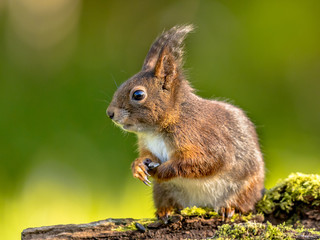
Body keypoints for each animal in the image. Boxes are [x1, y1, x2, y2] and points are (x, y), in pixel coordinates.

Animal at [106, 24, 264, 221]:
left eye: (138, 94)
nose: (110, 113)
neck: (156, 130)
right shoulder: (148, 145)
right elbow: (147, 156)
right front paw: (138, 166)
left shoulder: (207, 142)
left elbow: (202, 162)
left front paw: (160, 171)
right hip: (162, 191)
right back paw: (165, 210)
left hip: (246, 186)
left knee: (243, 202)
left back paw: (230, 207)